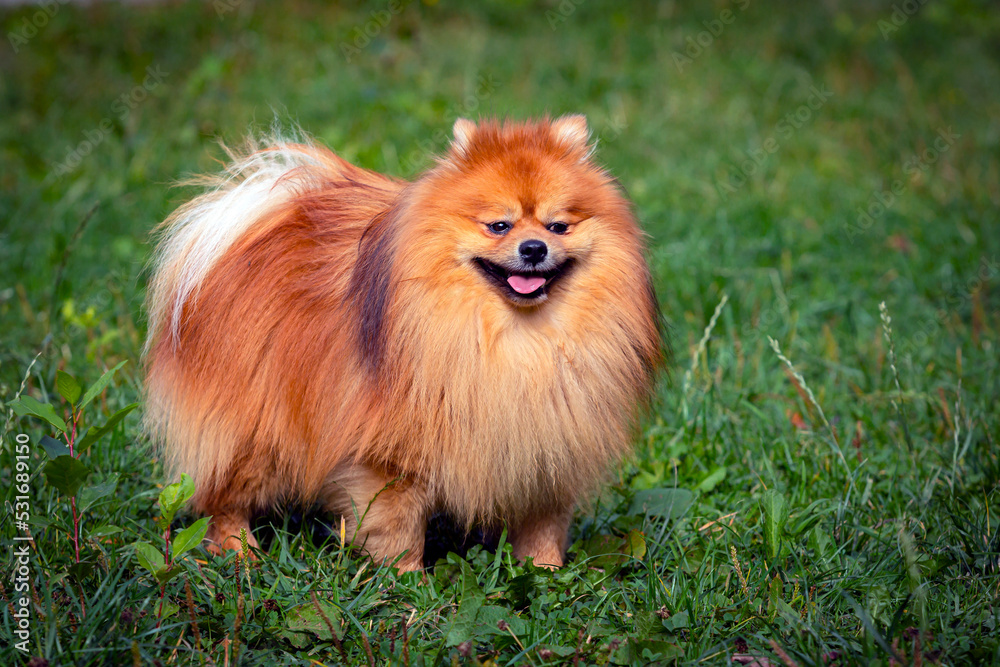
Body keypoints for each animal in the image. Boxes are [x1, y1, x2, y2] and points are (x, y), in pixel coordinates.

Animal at [145, 113, 660, 568]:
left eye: (558, 226)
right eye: (499, 225)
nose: (534, 248)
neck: (515, 339)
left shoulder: (551, 445)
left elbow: (543, 524)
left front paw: (547, 572)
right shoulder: (390, 454)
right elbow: (399, 527)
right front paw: (409, 581)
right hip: (258, 428)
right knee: (224, 496)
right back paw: (239, 552)